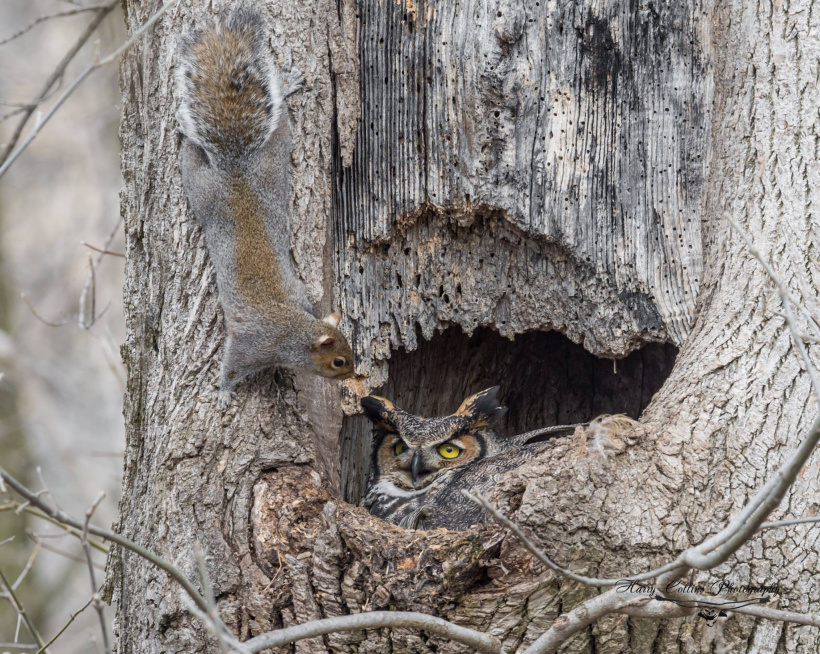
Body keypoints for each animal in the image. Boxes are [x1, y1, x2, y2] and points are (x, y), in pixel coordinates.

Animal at [175, 5, 354, 408]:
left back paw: (285, 86)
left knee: (280, 116)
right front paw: (224, 392)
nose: (354, 374)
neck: (293, 330)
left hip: (273, 158)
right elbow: (232, 368)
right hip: (203, 190)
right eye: (338, 361)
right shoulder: (252, 346)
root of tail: (236, 167)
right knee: (191, 158)